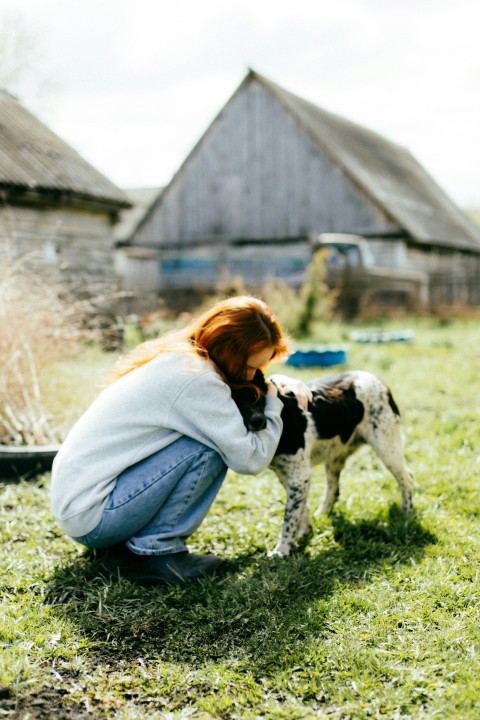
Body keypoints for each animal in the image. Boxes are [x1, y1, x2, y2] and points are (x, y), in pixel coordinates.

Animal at [232, 372, 412, 556]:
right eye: (234, 402)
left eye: (256, 397)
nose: (258, 421)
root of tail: (374, 378)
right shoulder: (288, 476)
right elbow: (301, 508)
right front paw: (304, 532)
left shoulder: (298, 476)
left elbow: (289, 518)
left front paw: (282, 550)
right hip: (335, 458)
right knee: (334, 489)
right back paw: (323, 512)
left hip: (386, 447)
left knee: (408, 479)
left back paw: (407, 513)